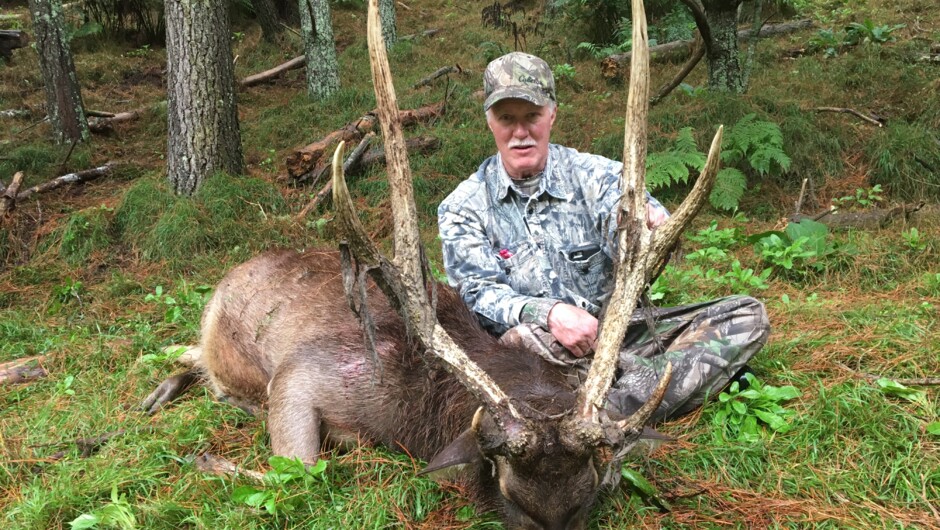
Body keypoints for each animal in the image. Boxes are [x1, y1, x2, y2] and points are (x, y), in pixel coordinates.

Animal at [142, 0, 724, 527]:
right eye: (514, 502)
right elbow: (303, 473)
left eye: (587, 502)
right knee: (193, 358)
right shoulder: (305, 372)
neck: (419, 415)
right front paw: (206, 457)